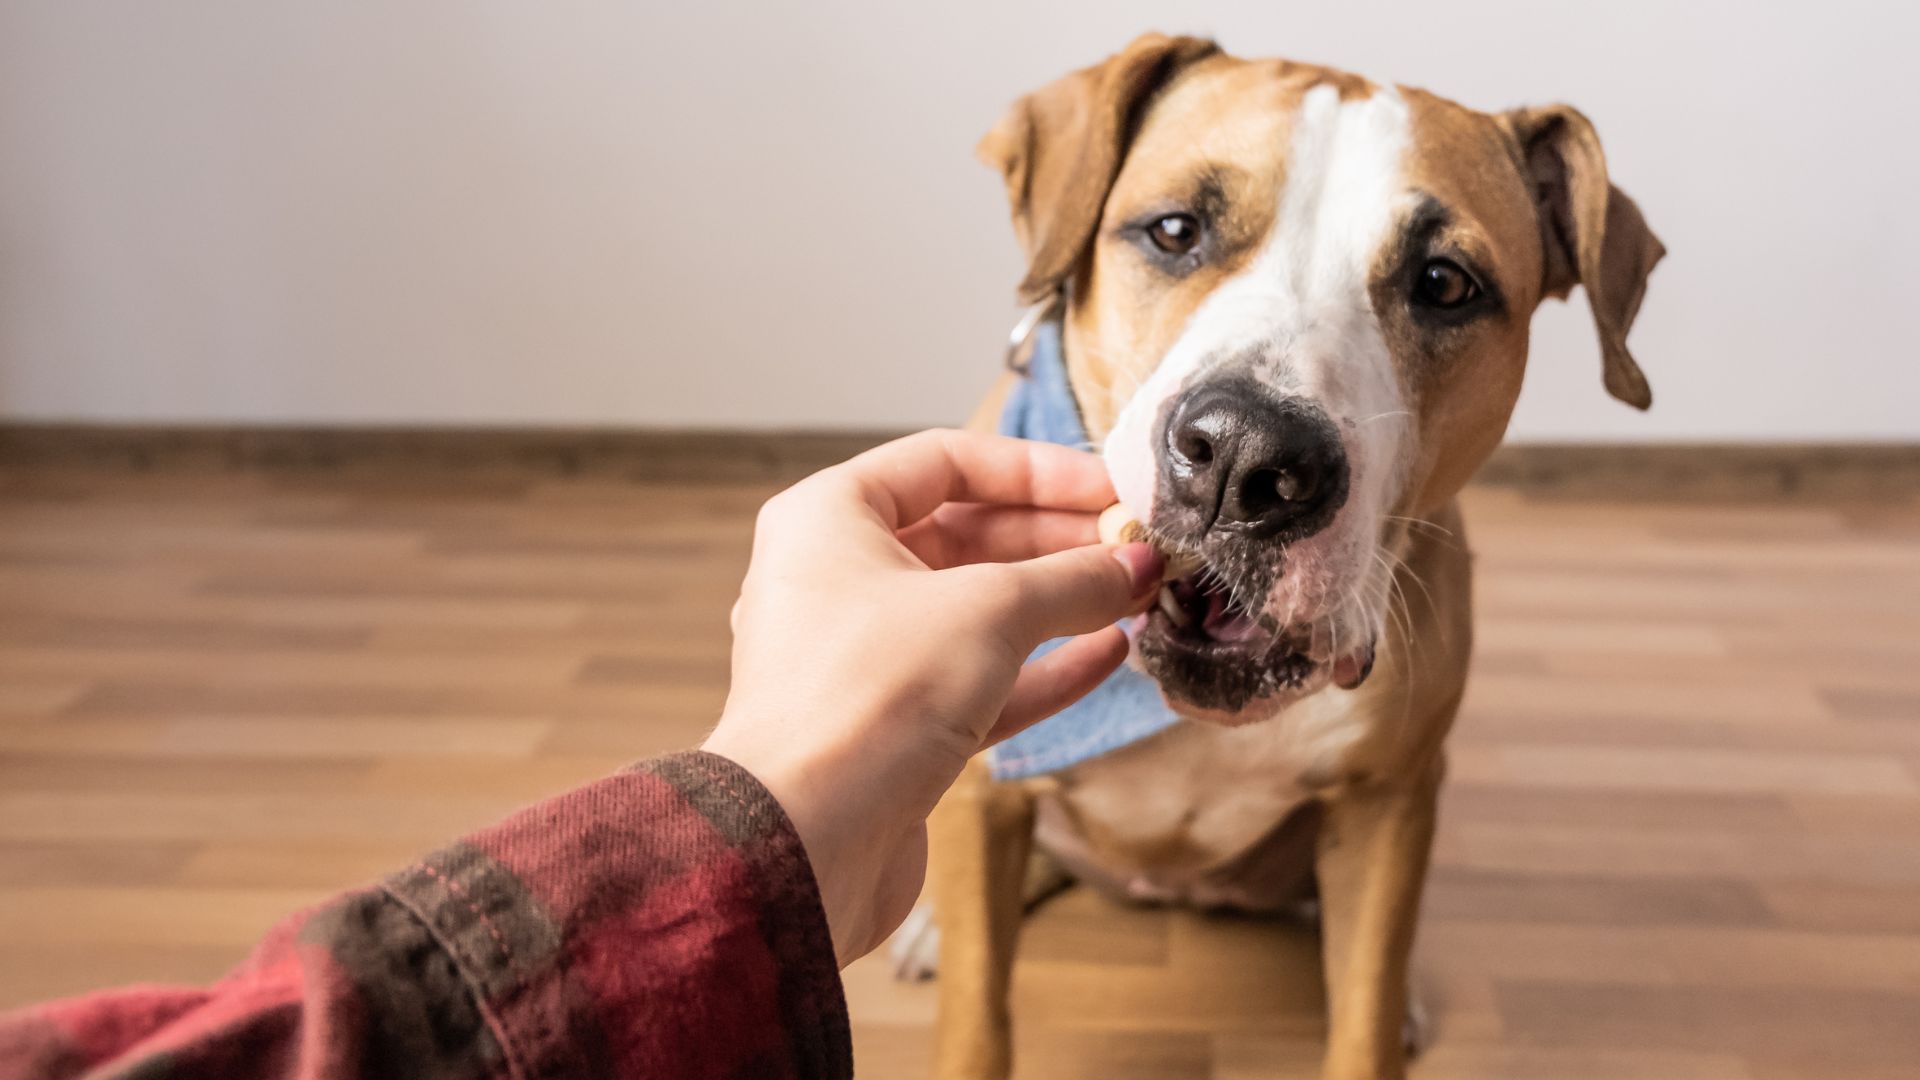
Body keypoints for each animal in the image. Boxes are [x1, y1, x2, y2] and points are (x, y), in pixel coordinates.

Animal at [898, 33, 1666, 1076]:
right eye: (1173, 231)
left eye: (1445, 284)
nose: (1245, 456)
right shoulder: (984, 791)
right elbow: (980, 1013)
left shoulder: (1389, 804)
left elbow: (1365, 1007)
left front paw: (1382, 1010)